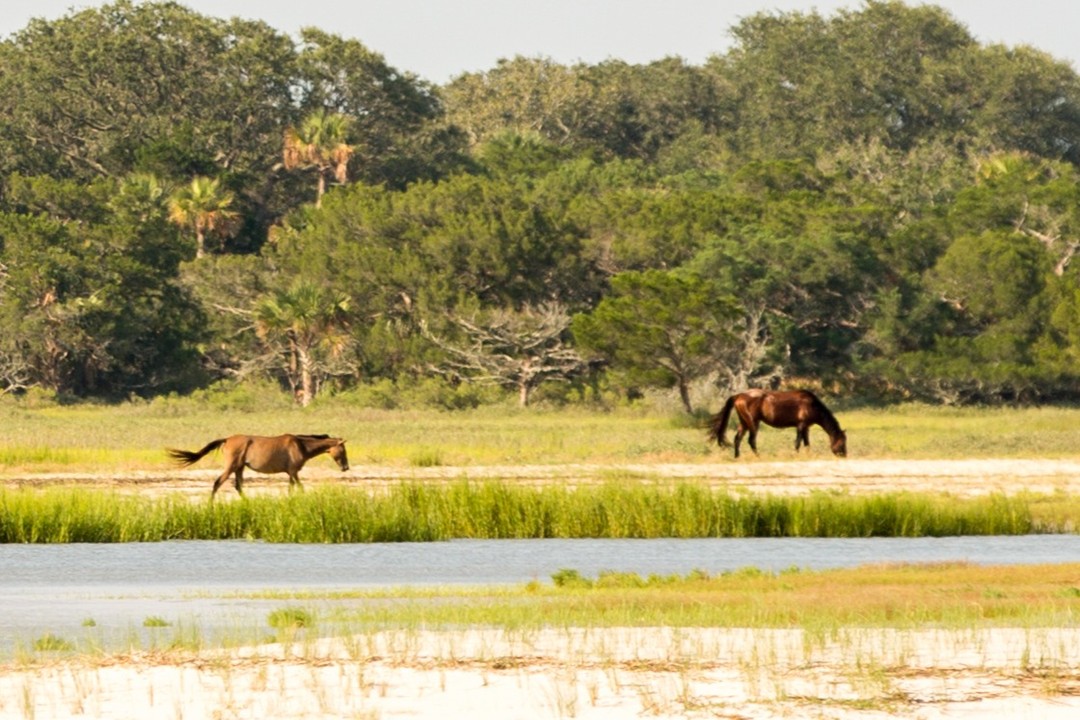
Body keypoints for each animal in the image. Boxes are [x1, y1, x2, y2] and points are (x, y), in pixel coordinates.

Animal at [166, 436, 349, 498]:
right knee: (218, 482)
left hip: (239, 468)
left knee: (238, 486)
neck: (301, 445)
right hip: (231, 467)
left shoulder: (291, 473)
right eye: (343, 449)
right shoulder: (293, 472)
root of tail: (226, 439)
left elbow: (292, 488)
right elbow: (299, 487)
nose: (346, 467)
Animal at [704, 390, 846, 459]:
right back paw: (758, 456)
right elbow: (798, 442)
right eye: (842, 442)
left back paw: (737, 457)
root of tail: (738, 395)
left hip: (744, 422)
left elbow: (806, 443)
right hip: (753, 422)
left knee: (737, 439)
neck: (812, 405)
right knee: (751, 440)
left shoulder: (805, 427)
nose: (844, 455)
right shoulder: (801, 426)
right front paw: (795, 455)